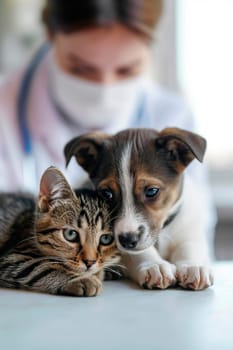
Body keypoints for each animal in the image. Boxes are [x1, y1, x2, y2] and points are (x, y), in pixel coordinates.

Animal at [0, 167, 120, 296]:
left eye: (106, 239)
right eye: (70, 234)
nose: (90, 262)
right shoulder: (11, 258)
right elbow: (40, 268)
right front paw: (81, 279)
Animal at [63, 129, 213, 290]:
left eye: (152, 191)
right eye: (106, 193)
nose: (127, 240)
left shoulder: (190, 234)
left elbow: (189, 248)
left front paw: (192, 266)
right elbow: (139, 252)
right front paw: (154, 265)